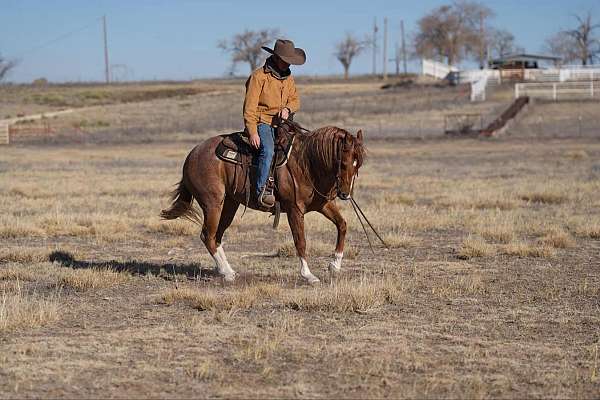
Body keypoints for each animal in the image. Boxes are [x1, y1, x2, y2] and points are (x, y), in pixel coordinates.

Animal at [161, 125, 366, 284]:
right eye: (344, 163)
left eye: (358, 164)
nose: (345, 194)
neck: (306, 163)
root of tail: (192, 154)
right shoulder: (294, 209)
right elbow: (300, 241)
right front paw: (308, 275)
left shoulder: (322, 205)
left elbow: (342, 225)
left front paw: (335, 265)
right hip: (213, 204)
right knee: (207, 235)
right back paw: (227, 273)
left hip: (229, 204)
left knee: (216, 236)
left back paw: (227, 271)